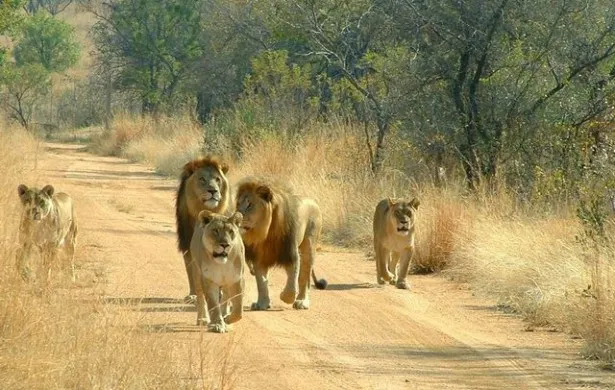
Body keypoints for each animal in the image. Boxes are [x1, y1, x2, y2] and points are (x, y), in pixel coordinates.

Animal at [176, 157, 231, 304]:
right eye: (201, 179)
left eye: (217, 179)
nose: (213, 191)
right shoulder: (187, 242)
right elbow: (191, 269)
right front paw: (193, 295)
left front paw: (220, 295)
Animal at [235, 177, 328, 310]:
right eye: (238, 204)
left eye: (249, 204)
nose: (235, 216)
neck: (265, 232)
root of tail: (313, 202)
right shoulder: (259, 258)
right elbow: (261, 282)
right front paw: (262, 304)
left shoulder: (290, 253)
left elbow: (292, 281)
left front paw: (286, 297)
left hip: (309, 244)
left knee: (305, 276)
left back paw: (302, 301)